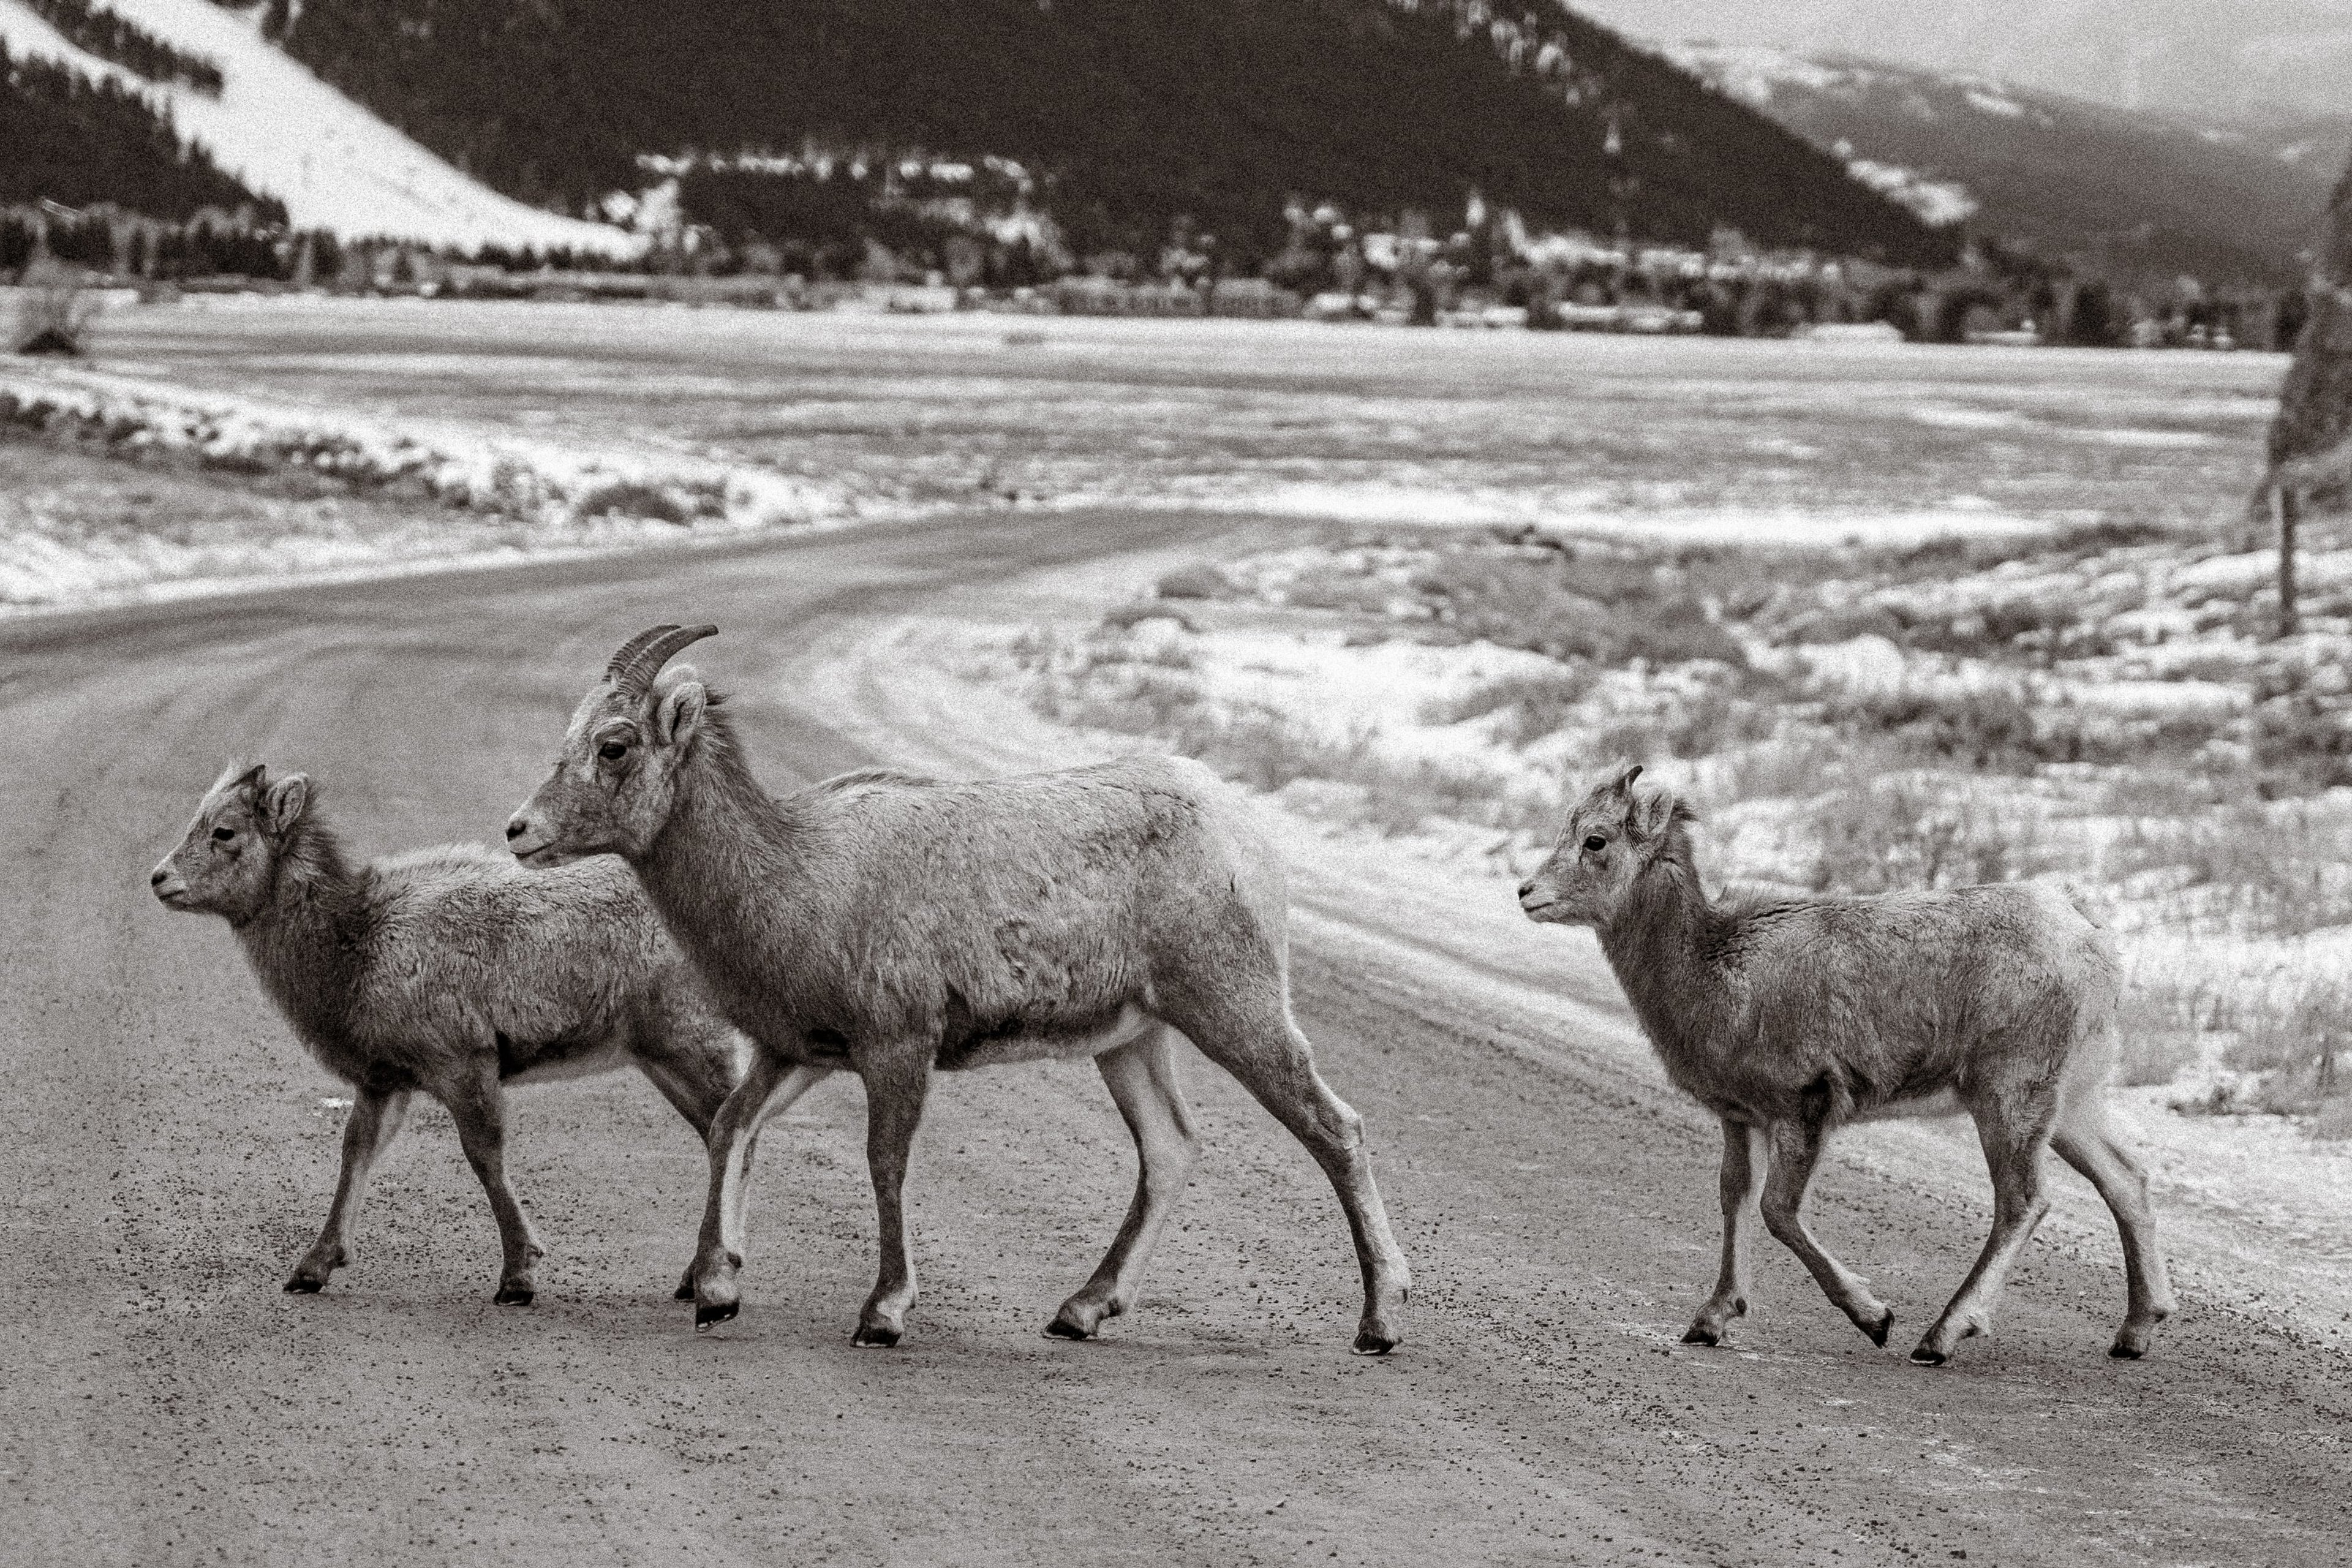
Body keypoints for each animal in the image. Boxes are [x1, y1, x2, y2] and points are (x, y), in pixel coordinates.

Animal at [150, 761, 752, 1305]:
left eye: (225, 831)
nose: (159, 879)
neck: (355, 949)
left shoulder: (462, 1060)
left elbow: (484, 1155)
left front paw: (518, 1278)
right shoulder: (384, 1080)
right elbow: (356, 1151)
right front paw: (310, 1270)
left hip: (690, 1040)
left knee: (730, 1131)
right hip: (661, 1055)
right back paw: (695, 1277)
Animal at [503, 624, 1410, 1353]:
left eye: (615, 745)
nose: (520, 832)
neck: (797, 872)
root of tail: (1242, 830)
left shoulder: (897, 1048)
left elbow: (885, 1163)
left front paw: (882, 1315)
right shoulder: (799, 1054)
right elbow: (732, 1129)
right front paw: (717, 1294)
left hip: (1233, 1010)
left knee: (1334, 1127)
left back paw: (1380, 1323)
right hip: (1132, 1040)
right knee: (1170, 1148)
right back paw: (1079, 1312)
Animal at [1517, 765, 2172, 1365]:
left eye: (1596, 840)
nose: (1526, 893)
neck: (1716, 972)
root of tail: (2090, 939)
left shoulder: (1806, 1106)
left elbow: (1777, 1211)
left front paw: (1876, 1319)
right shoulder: (1741, 1117)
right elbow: (1734, 1198)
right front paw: (1708, 1323)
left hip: (2009, 1095)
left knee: (2023, 1201)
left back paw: (1939, 1338)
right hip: (2071, 1102)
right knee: (2125, 1180)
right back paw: (2135, 1333)